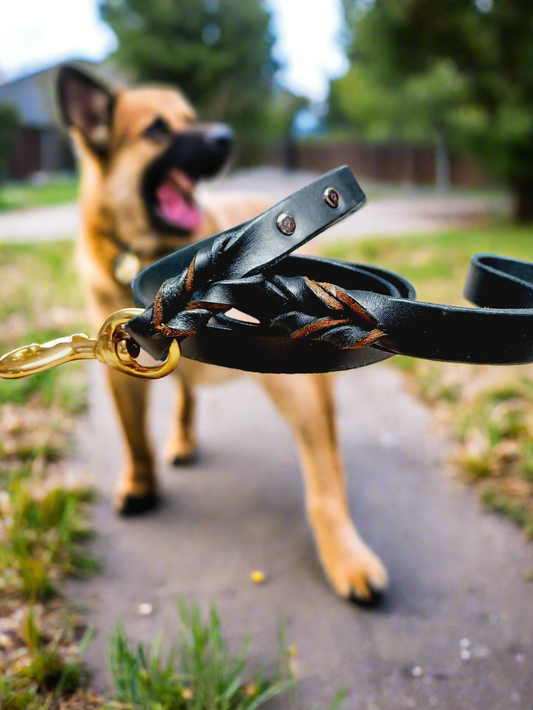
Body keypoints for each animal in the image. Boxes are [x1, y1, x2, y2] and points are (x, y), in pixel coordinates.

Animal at [56, 65, 384, 608]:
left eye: (192, 117)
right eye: (157, 128)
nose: (226, 137)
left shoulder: (298, 378)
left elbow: (323, 480)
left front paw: (345, 554)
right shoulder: (121, 372)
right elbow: (134, 436)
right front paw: (140, 483)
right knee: (185, 397)